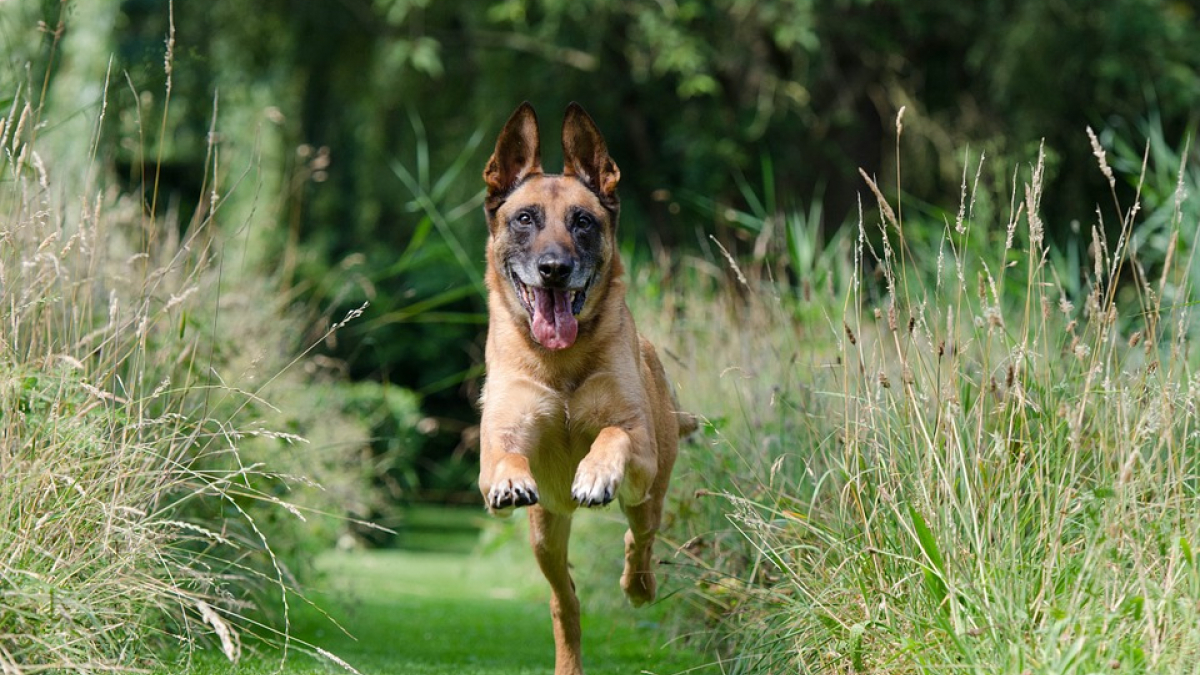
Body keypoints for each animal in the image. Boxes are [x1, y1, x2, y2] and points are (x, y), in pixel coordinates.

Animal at [477, 100, 696, 672]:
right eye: (525, 218)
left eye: (583, 221)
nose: (554, 269)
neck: (560, 363)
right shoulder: (500, 440)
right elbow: (505, 457)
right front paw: (511, 479)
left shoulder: (637, 443)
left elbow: (613, 435)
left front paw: (595, 474)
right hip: (545, 533)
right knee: (565, 601)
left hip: (649, 491)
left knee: (639, 541)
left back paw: (639, 585)